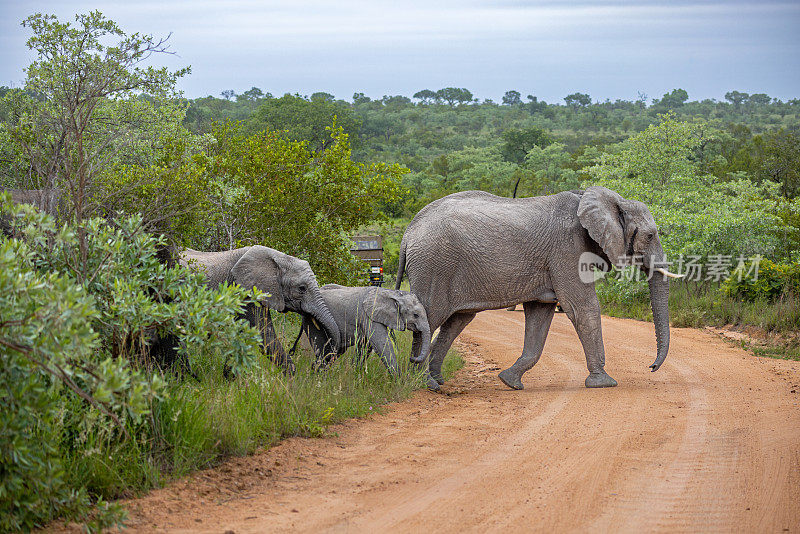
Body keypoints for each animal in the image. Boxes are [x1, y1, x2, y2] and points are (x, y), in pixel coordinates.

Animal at [180, 246, 340, 374]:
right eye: (302, 288)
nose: (315, 366)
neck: (278, 258)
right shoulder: (245, 290)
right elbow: (264, 335)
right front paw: (291, 379)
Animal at [290, 286, 432, 374]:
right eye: (415, 315)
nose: (412, 358)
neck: (392, 293)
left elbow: (366, 347)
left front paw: (354, 373)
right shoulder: (368, 316)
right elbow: (382, 344)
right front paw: (398, 380)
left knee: (333, 352)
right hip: (312, 321)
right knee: (322, 348)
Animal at [394, 186, 680, 392]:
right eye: (651, 235)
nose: (651, 367)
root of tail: (407, 234)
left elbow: (540, 316)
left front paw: (510, 382)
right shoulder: (567, 249)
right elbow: (582, 308)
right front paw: (604, 383)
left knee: (457, 321)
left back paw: (437, 380)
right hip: (434, 266)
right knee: (428, 319)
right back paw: (426, 385)